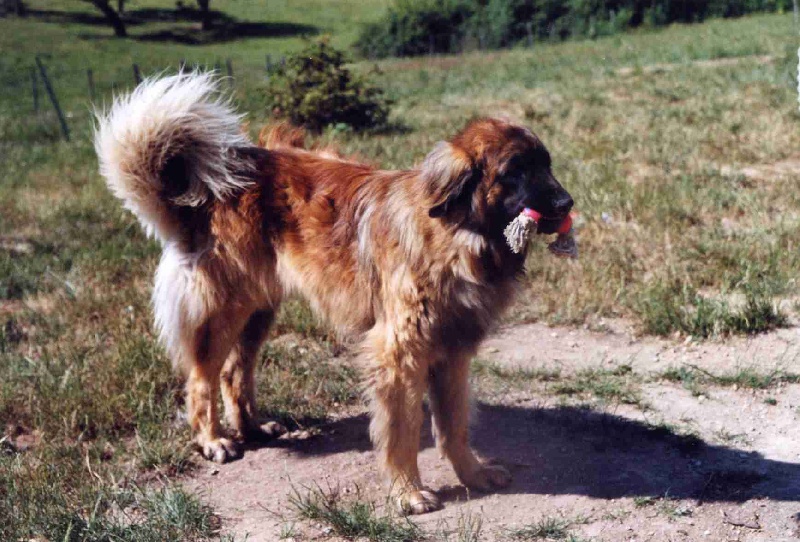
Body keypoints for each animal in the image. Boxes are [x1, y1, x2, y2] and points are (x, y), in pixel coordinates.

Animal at [95, 73, 576, 516]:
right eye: (515, 172)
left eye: (546, 164)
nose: (567, 203)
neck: (458, 237)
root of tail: (214, 186)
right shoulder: (399, 353)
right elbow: (402, 431)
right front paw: (408, 492)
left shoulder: (453, 350)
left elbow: (454, 424)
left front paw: (472, 474)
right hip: (224, 308)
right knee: (202, 378)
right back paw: (213, 440)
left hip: (259, 308)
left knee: (235, 371)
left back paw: (252, 428)